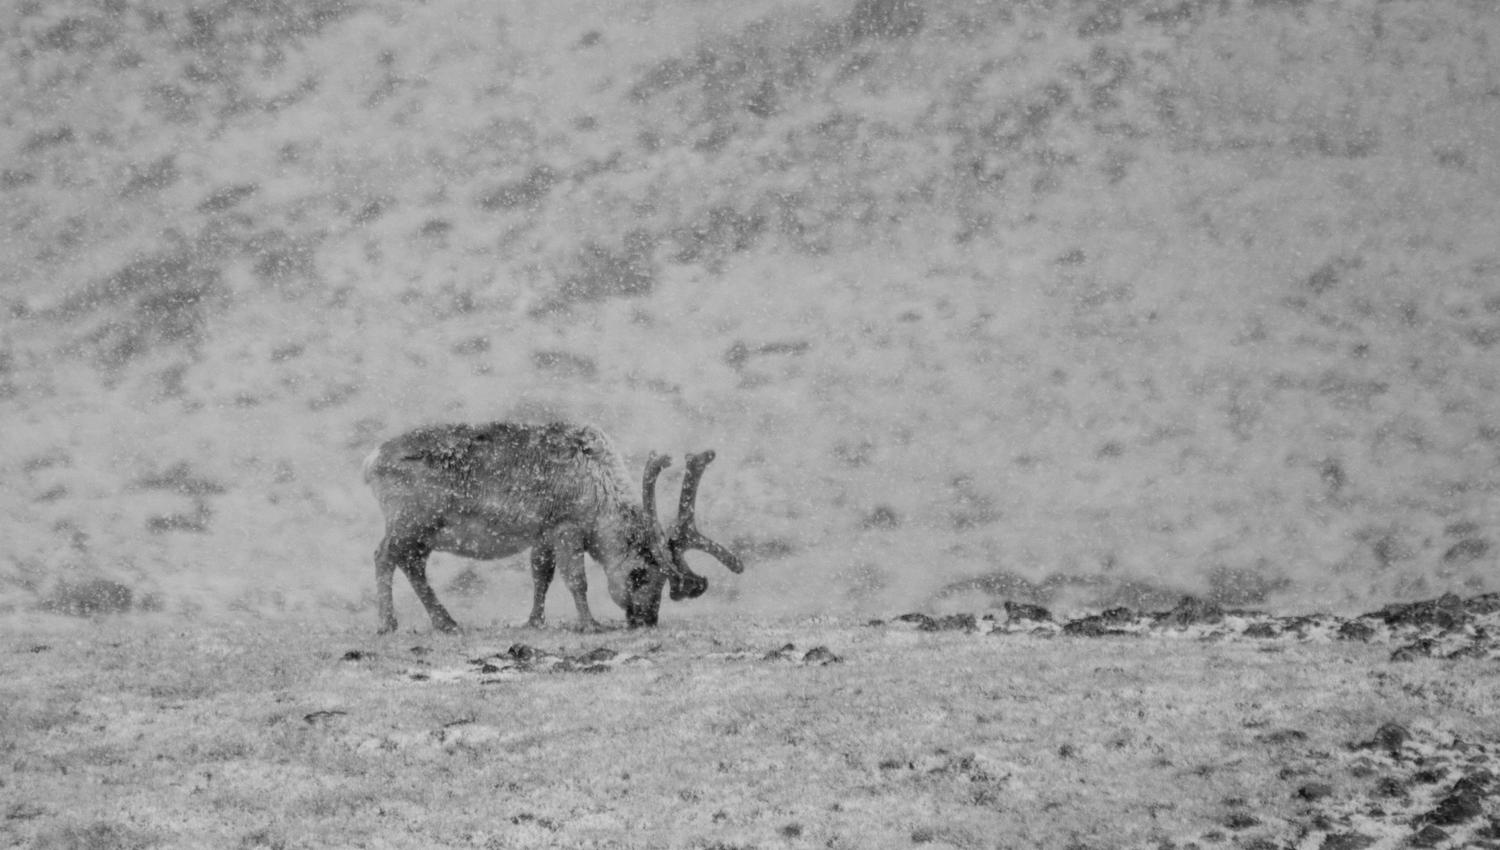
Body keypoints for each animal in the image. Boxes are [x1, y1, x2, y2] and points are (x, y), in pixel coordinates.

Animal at [362, 421, 743, 634]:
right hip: (410, 521)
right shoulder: (566, 527)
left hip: (422, 533)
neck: (600, 488)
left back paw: (446, 623)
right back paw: (387, 624)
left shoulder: (543, 534)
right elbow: (576, 579)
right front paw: (590, 625)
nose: (646, 619)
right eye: (640, 575)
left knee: (412, 565)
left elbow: (540, 576)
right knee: (383, 555)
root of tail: (370, 462)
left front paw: (534, 621)